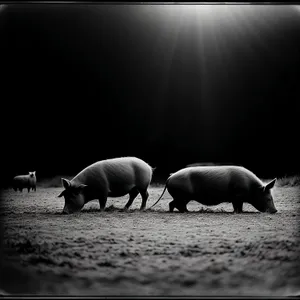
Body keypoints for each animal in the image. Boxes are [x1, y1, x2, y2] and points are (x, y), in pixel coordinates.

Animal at [149, 166, 278, 213]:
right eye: (268, 198)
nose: (275, 211)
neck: (252, 188)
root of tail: (170, 177)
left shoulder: (237, 198)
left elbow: (238, 206)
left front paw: (240, 211)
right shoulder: (237, 196)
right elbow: (237, 206)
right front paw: (239, 212)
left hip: (183, 197)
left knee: (175, 204)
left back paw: (186, 211)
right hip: (182, 196)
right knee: (173, 204)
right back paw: (185, 212)